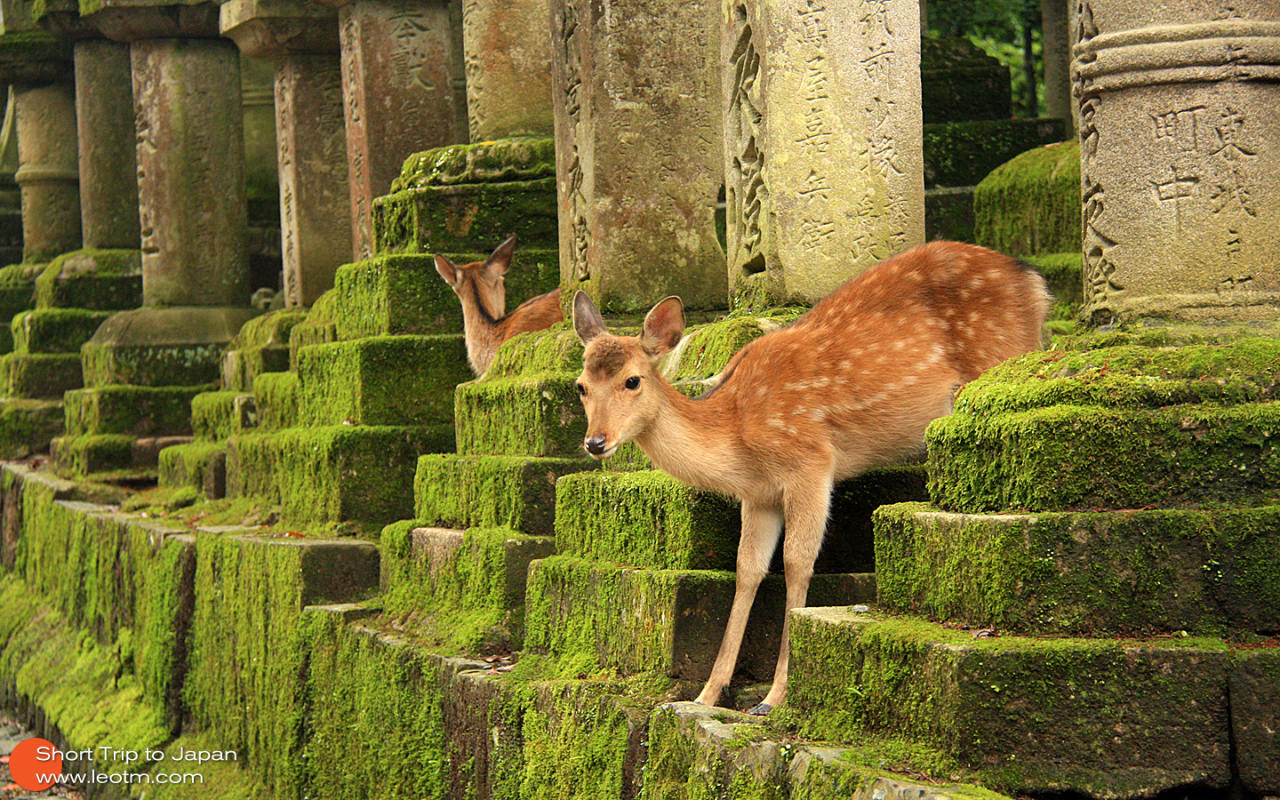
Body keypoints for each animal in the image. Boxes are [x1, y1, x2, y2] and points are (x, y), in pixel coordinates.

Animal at [571, 240, 1050, 715]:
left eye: (632, 380)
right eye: (581, 385)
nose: (595, 442)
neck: (736, 433)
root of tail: (1035, 282)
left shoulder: (810, 463)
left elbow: (797, 562)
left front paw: (774, 696)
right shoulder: (759, 494)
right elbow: (748, 568)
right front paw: (707, 693)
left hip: (1001, 359)